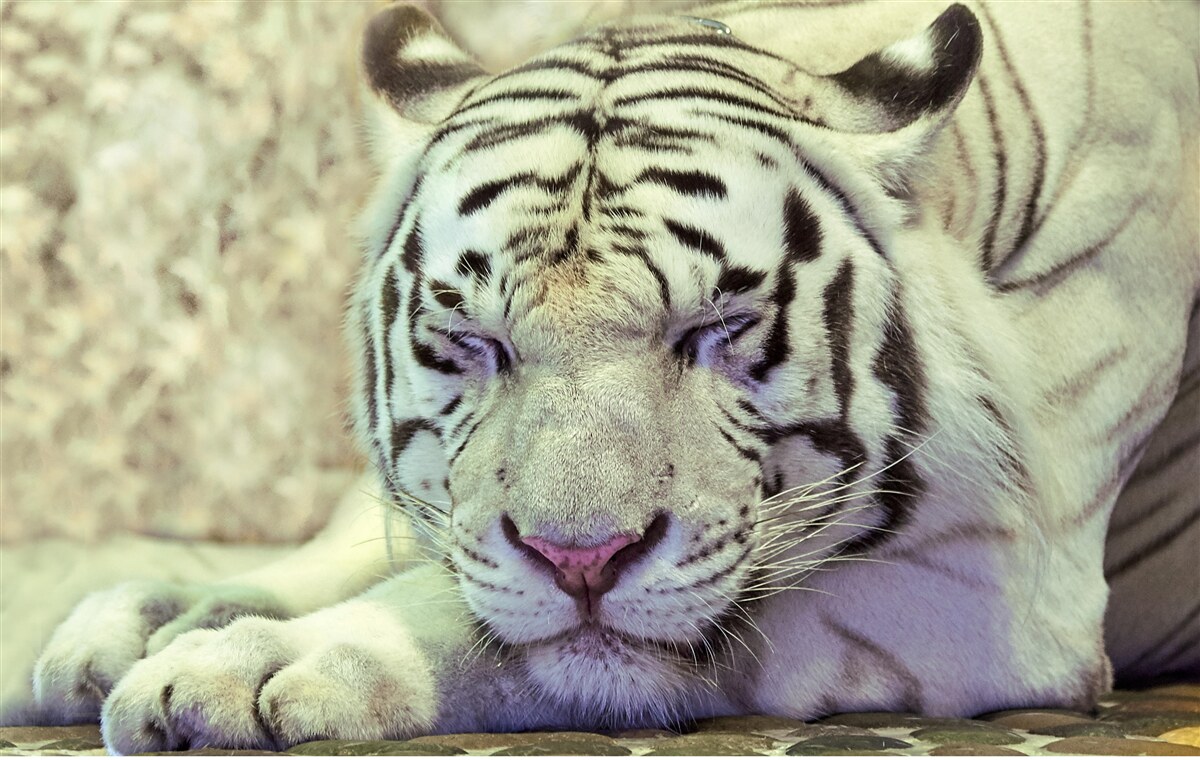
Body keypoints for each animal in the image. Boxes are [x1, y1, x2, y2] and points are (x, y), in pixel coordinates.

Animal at [27, 0, 1199, 752]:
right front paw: (146, 622)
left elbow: (504, 626)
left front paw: (252, 665)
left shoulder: (1001, 583)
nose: (579, 559)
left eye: (719, 326)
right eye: (472, 340)